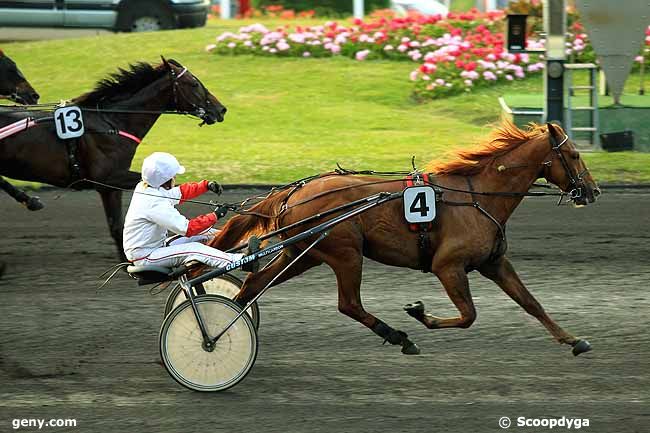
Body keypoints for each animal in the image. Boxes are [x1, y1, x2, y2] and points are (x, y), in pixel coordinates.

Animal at [0, 58, 227, 258]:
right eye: (194, 83)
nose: (221, 109)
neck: (111, 122)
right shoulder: (108, 179)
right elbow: (122, 222)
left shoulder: (110, 186)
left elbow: (117, 224)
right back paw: (29, 200)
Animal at [211, 120, 596, 356]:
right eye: (575, 154)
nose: (592, 190)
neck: (477, 195)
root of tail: (293, 191)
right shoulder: (448, 266)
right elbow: (468, 315)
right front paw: (420, 314)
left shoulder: (494, 262)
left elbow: (531, 303)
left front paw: (573, 340)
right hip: (345, 253)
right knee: (349, 304)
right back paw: (398, 336)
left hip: (303, 252)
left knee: (254, 283)